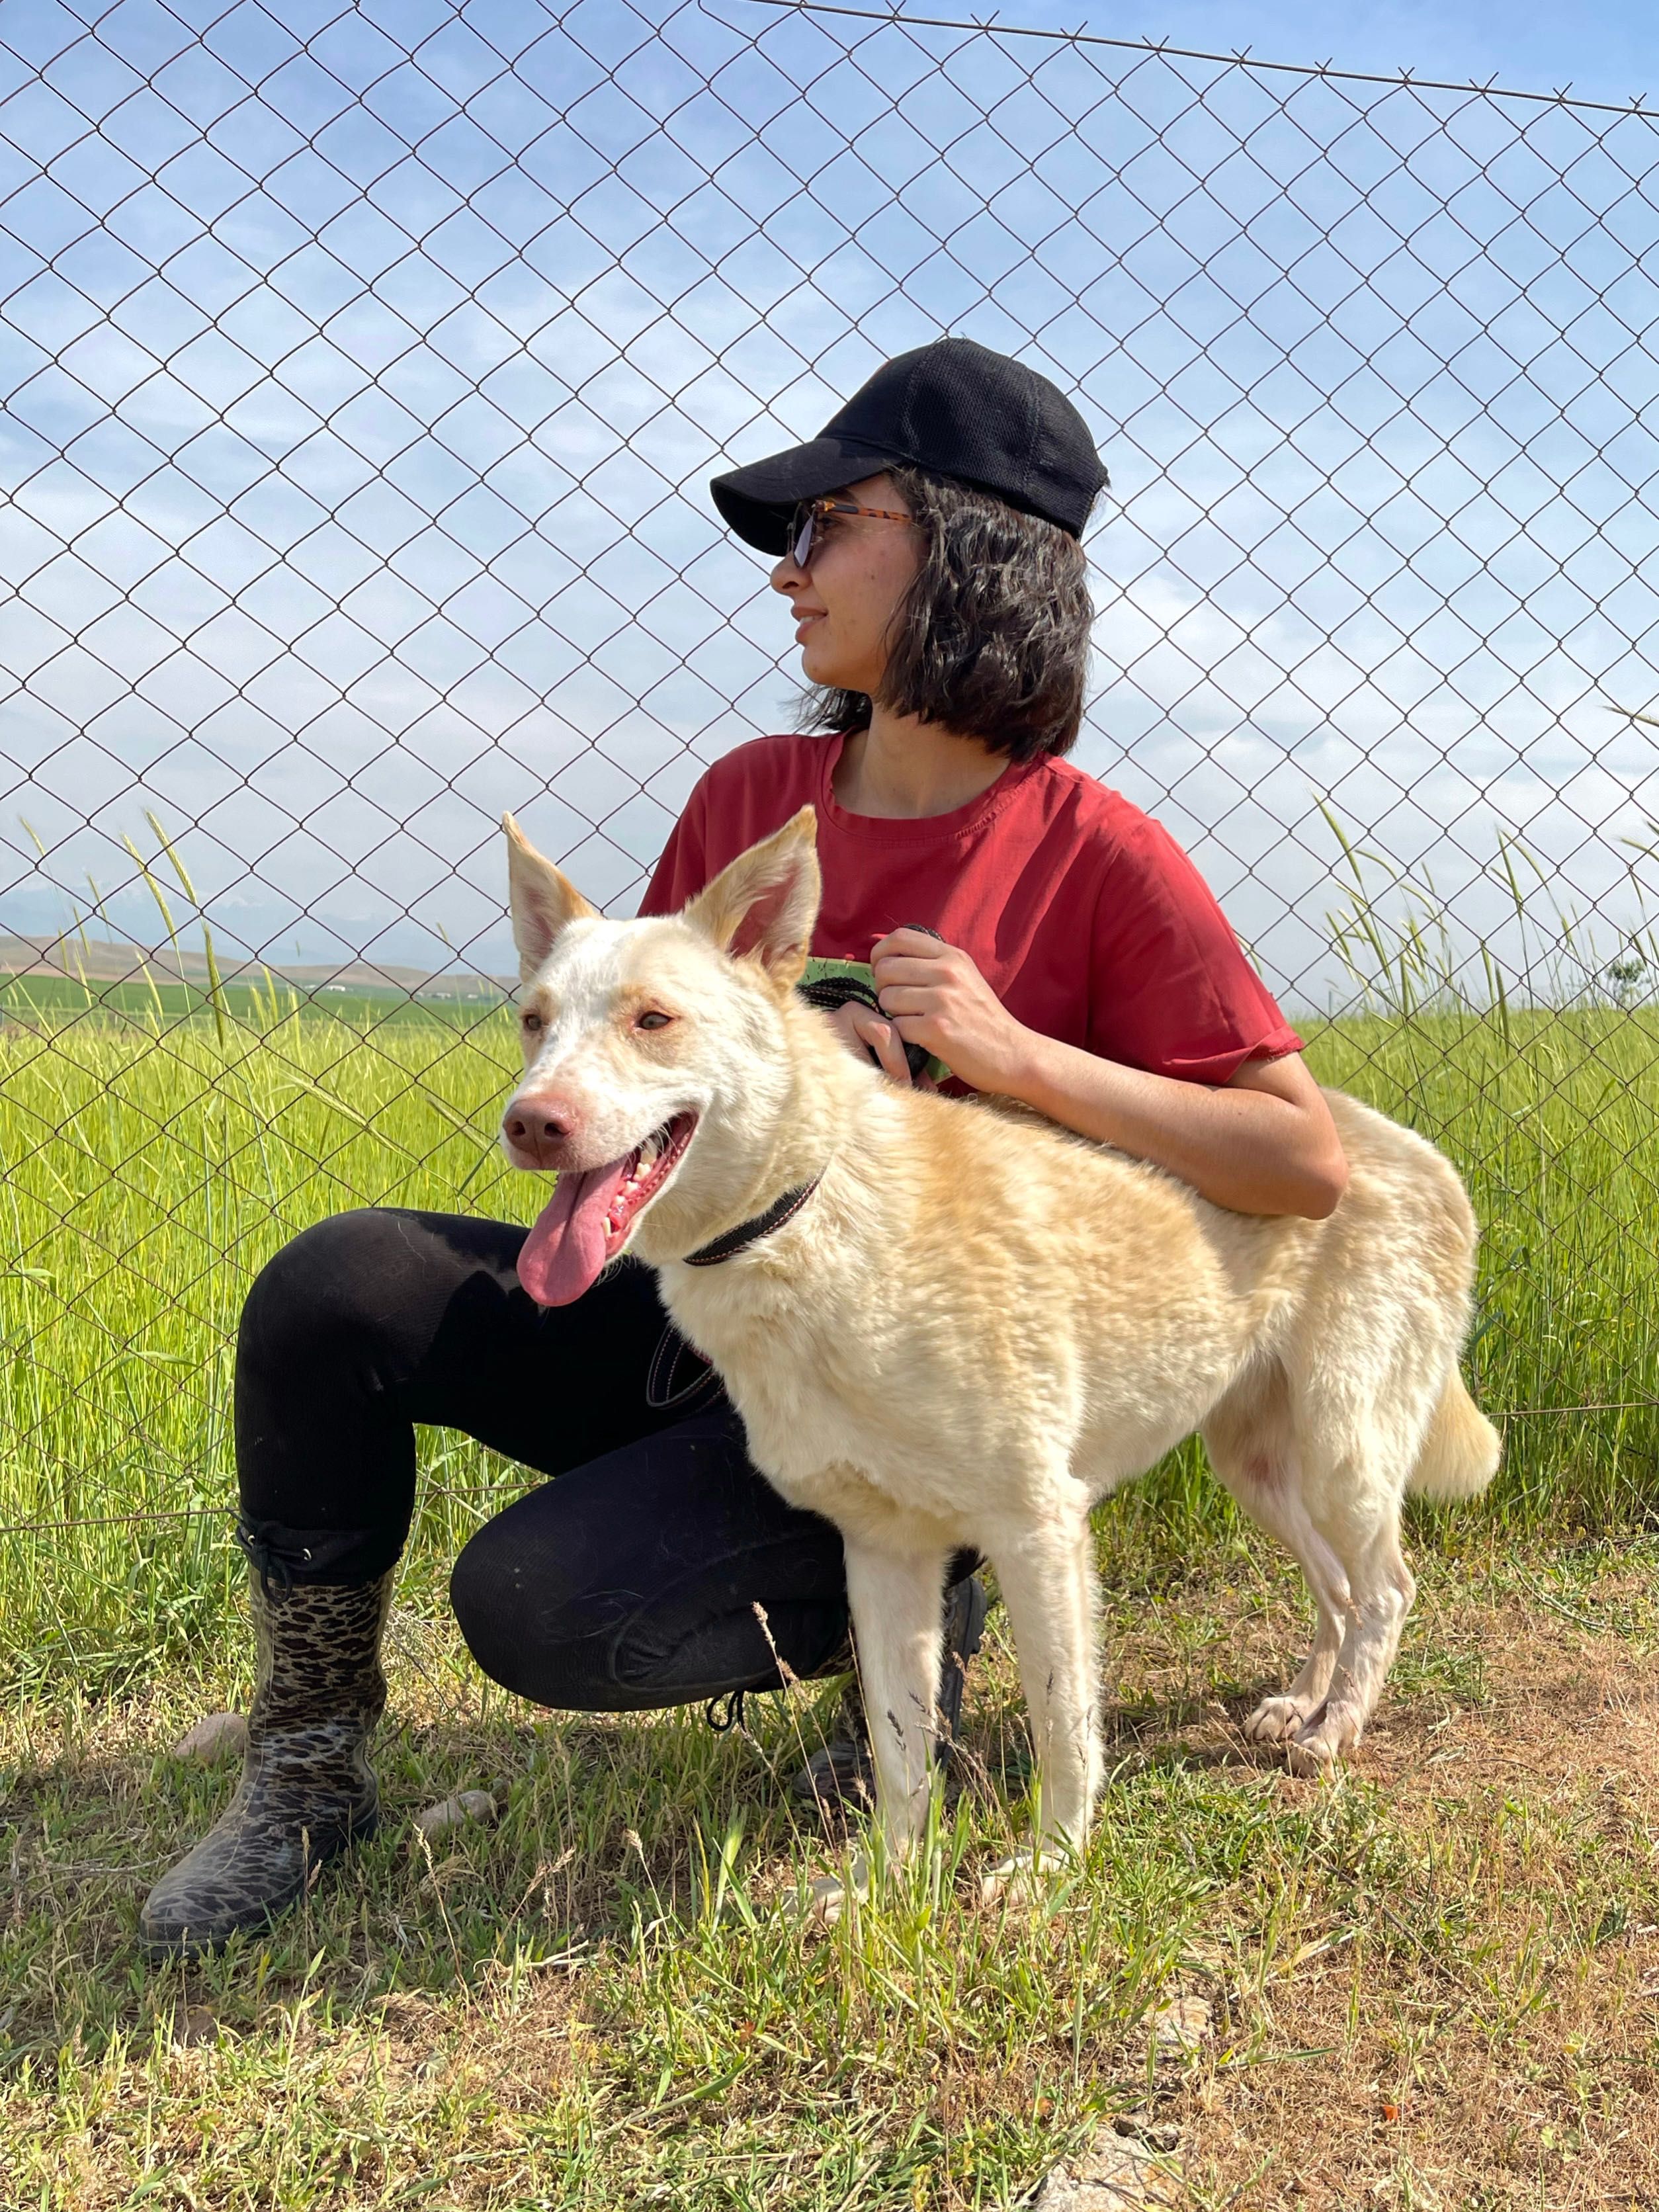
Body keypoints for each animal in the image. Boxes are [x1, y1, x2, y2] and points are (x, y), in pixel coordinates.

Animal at [499, 814, 1504, 1885]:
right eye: (533, 1021)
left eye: (653, 1020)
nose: (529, 1123)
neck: (813, 1214)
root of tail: (1419, 1150)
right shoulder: (881, 1550)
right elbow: (900, 1743)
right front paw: (885, 1883)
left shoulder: (1039, 1525)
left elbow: (1064, 1724)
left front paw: (1053, 1865)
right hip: (1260, 1464)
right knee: (1339, 1585)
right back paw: (1303, 1704)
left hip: (1343, 1447)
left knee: (1387, 1589)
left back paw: (1335, 1729)